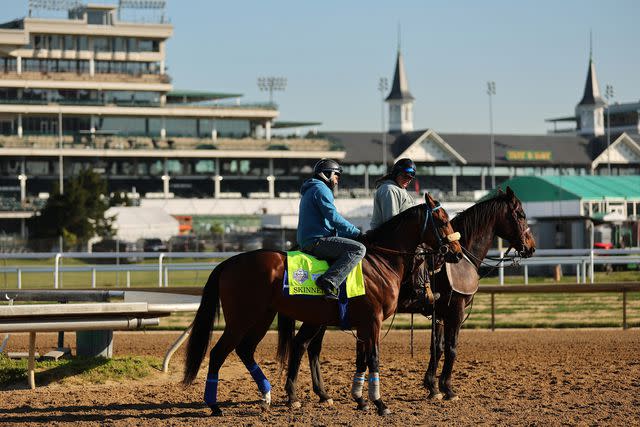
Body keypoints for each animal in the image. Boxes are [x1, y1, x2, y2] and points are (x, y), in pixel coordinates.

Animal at [182, 194, 462, 418]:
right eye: (442, 221)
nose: (457, 253)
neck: (380, 262)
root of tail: (229, 262)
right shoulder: (373, 321)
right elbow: (373, 358)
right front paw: (380, 403)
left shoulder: (363, 324)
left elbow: (362, 360)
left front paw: (360, 399)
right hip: (242, 319)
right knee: (219, 353)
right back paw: (215, 405)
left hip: (263, 317)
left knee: (248, 350)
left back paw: (268, 395)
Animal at [280, 189, 536, 410]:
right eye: (521, 215)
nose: (531, 247)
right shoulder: (455, 310)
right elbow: (451, 348)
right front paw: (448, 389)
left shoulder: (439, 313)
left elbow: (437, 347)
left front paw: (432, 387)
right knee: (302, 345)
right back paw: (296, 395)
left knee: (312, 348)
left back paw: (322, 394)